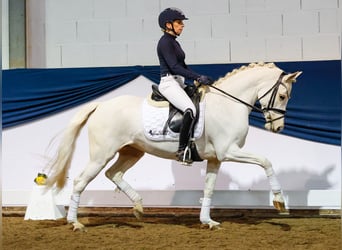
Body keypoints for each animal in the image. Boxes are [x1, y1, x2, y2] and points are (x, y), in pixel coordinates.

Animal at [46, 62, 302, 230]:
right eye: (282, 96)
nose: (278, 127)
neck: (228, 104)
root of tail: (101, 105)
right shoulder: (229, 151)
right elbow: (266, 161)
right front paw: (280, 202)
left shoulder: (216, 158)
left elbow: (209, 189)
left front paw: (208, 221)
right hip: (102, 154)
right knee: (81, 181)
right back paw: (75, 223)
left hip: (132, 151)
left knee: (114, 173)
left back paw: (138, 207)